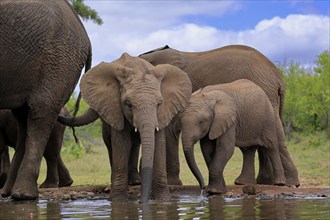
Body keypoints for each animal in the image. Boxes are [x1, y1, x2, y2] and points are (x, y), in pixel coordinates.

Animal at [57, 52, 192, 203]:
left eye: (159, 103)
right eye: (128, 104)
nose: (141, 201)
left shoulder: (163, 112)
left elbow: (158, 143)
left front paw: (163, 200)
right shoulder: (115, 108)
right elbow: (121, 143)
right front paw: (118, 200)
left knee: (135, 144)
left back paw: (134, 182)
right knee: (112, 144)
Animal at [139, 44, 300, 187]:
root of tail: (278, 76)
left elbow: (170, 131)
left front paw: (173, 183)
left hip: (265, 91)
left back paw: (284, 183)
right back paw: (268, 181)